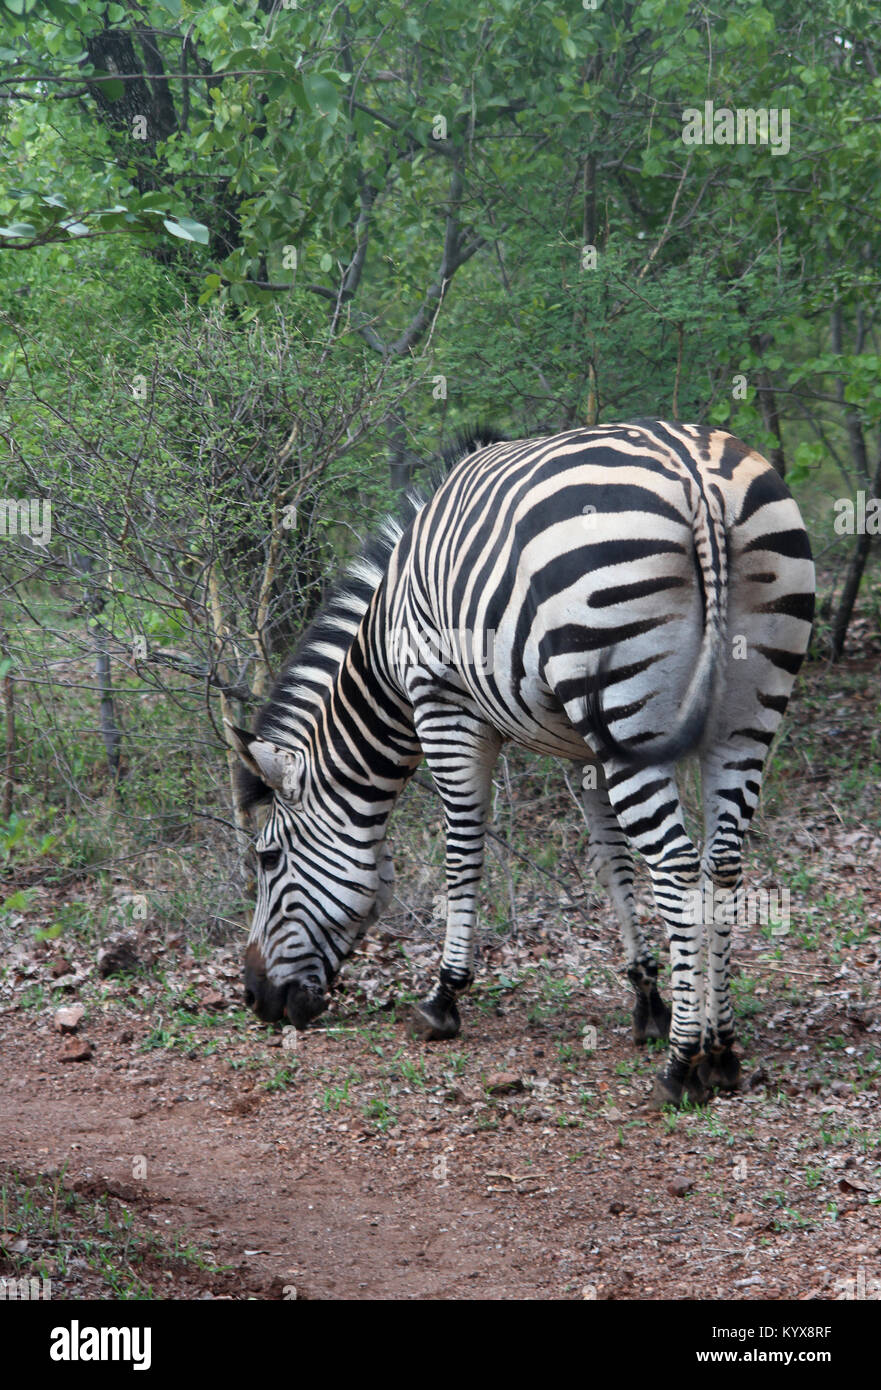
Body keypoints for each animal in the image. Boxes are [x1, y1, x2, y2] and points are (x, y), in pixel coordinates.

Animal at [228, 420, 814, 1107]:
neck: (386, 647)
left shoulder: (444, 704)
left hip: (629, 709)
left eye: (268, 859)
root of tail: (696, 474)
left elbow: (463, 852)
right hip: (744, 711)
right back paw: (720, 1054)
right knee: (721, 864)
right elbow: (612, 863)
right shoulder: (585, 749)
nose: (254, 999)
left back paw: (681, 1065)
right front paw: (647, 1001)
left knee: (674, 864)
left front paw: (443, 997)